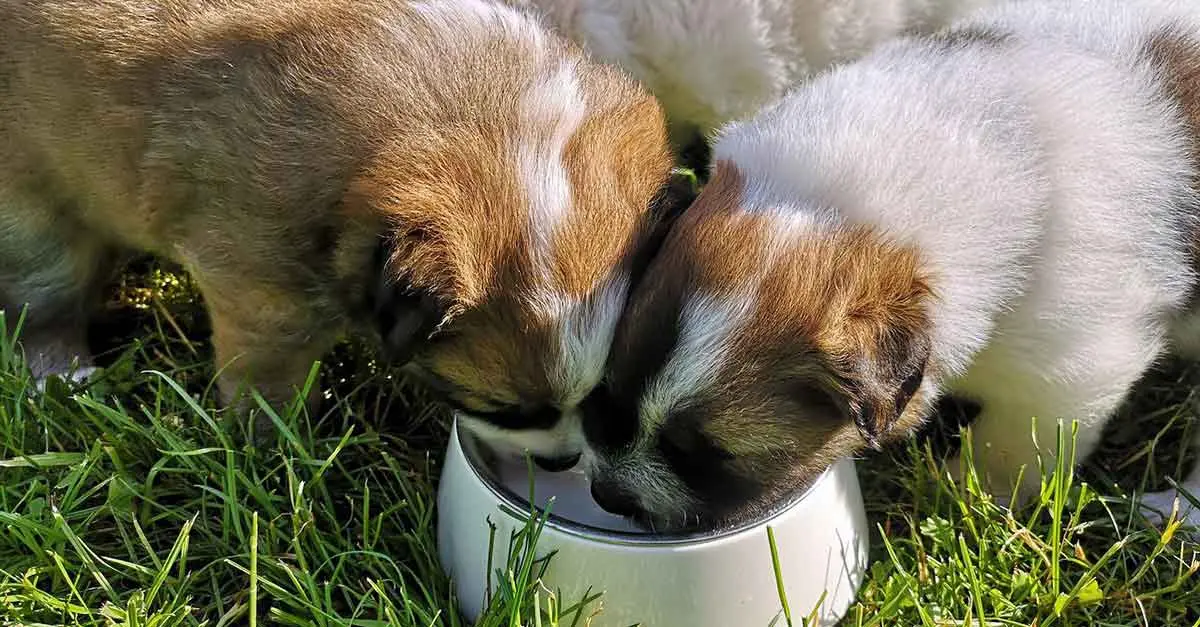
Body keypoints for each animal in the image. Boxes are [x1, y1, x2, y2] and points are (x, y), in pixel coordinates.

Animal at [0, 0, 686, 458]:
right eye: (506, 410)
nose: (567, 460)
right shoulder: (262, 298)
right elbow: (266, 383)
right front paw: (272, 446)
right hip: (38, 225)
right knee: (47, 303)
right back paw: (63, 379)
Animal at [576, 0, 1200, 528]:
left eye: (703, 453)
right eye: (608, 395)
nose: (607, 495)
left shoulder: (1072, 366)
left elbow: (1016, 441)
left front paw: (967, 491)